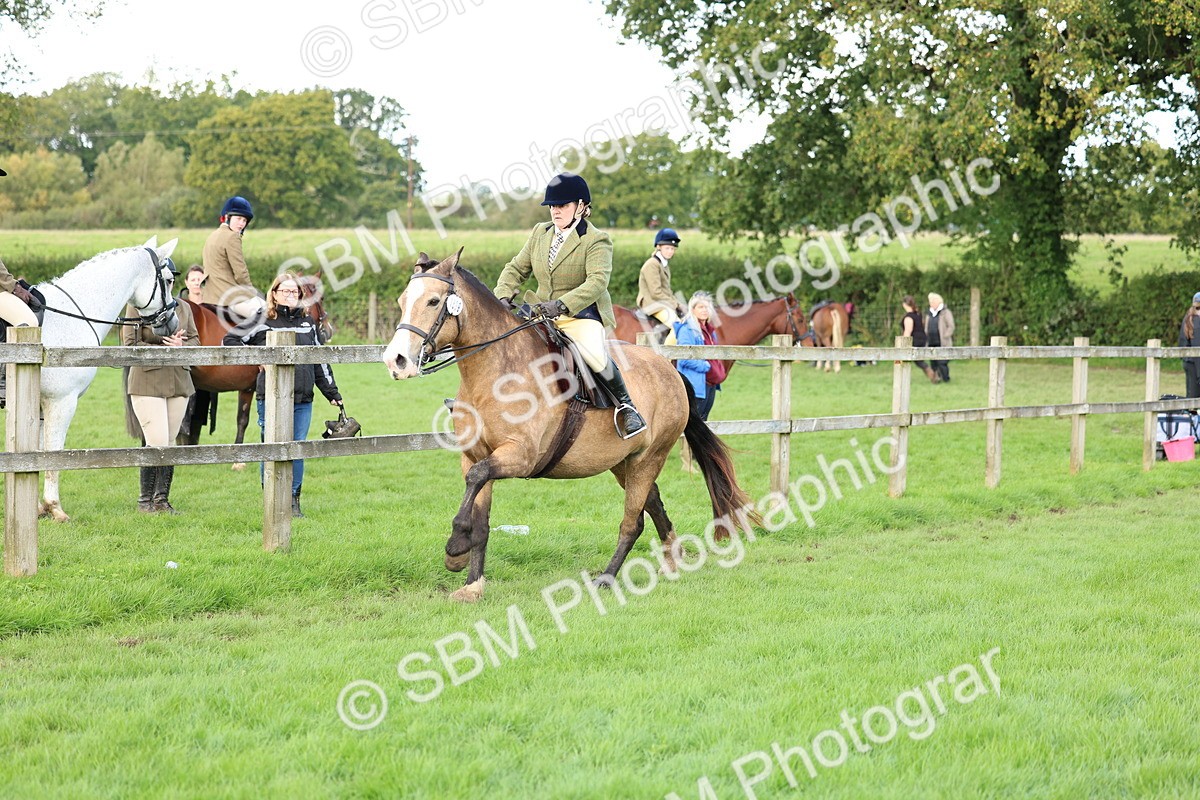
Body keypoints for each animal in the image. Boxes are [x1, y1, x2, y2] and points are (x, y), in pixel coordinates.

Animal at [27, 237, 181, 521]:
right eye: (167, 280)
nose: (172, 323)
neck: (68, 316)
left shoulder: (41, 405)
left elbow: (37, 453)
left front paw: (39, 509)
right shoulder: (61, 402)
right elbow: (53, 452)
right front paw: (55, 508)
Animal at [383, 251, 761, 602]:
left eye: (433, 302)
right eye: (402, 301)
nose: (395, 361)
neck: (494, 374)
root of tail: (669, 369)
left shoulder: (521, 456)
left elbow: (476, 482)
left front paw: (455, 549)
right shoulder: (475, 454)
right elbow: (480, 514)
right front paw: (472, 584)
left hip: (649, 457)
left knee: (632, 521)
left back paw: (607, 579)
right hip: (624, 462)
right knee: (652, 504)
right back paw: (672, 558)